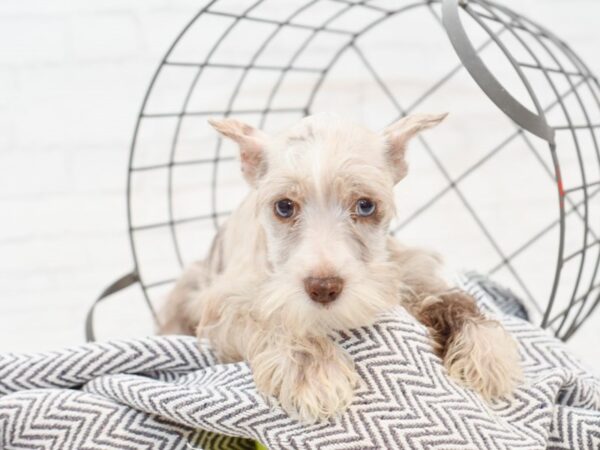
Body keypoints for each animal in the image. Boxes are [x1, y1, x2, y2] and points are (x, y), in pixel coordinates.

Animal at [159, 114, 520, 424]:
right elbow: (270, 316)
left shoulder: (403, 269)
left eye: (365, 205)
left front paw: (486, 350)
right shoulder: (224, 305)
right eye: (284, 206)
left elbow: (448, 296)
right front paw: (313, 371)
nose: (324, 287)